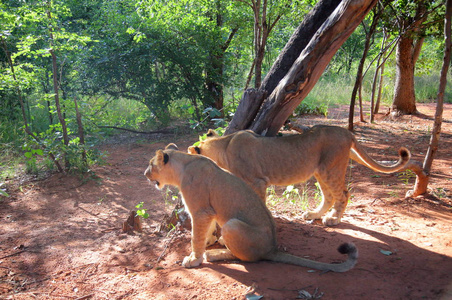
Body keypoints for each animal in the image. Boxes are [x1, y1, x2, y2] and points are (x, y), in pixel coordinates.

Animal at [144, 144, 356, 272]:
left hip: (232, 225)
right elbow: (206, 230)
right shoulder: (209, 211)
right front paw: (208, 240)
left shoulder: (200, 210)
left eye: (151, 165)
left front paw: (194, 258)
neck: (182, 166)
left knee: (246, 258)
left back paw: (214, 253)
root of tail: (273, 248)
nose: (145, 174)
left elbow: (195, 237)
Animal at [187, 125, 410, 226]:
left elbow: (260, 203)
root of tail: (347, 132)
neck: (224, 146)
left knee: (343, 194)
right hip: (320, 171)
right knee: (329, 196)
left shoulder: (258, 181)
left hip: (331, 169)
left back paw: (333, 219)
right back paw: (313, 215)